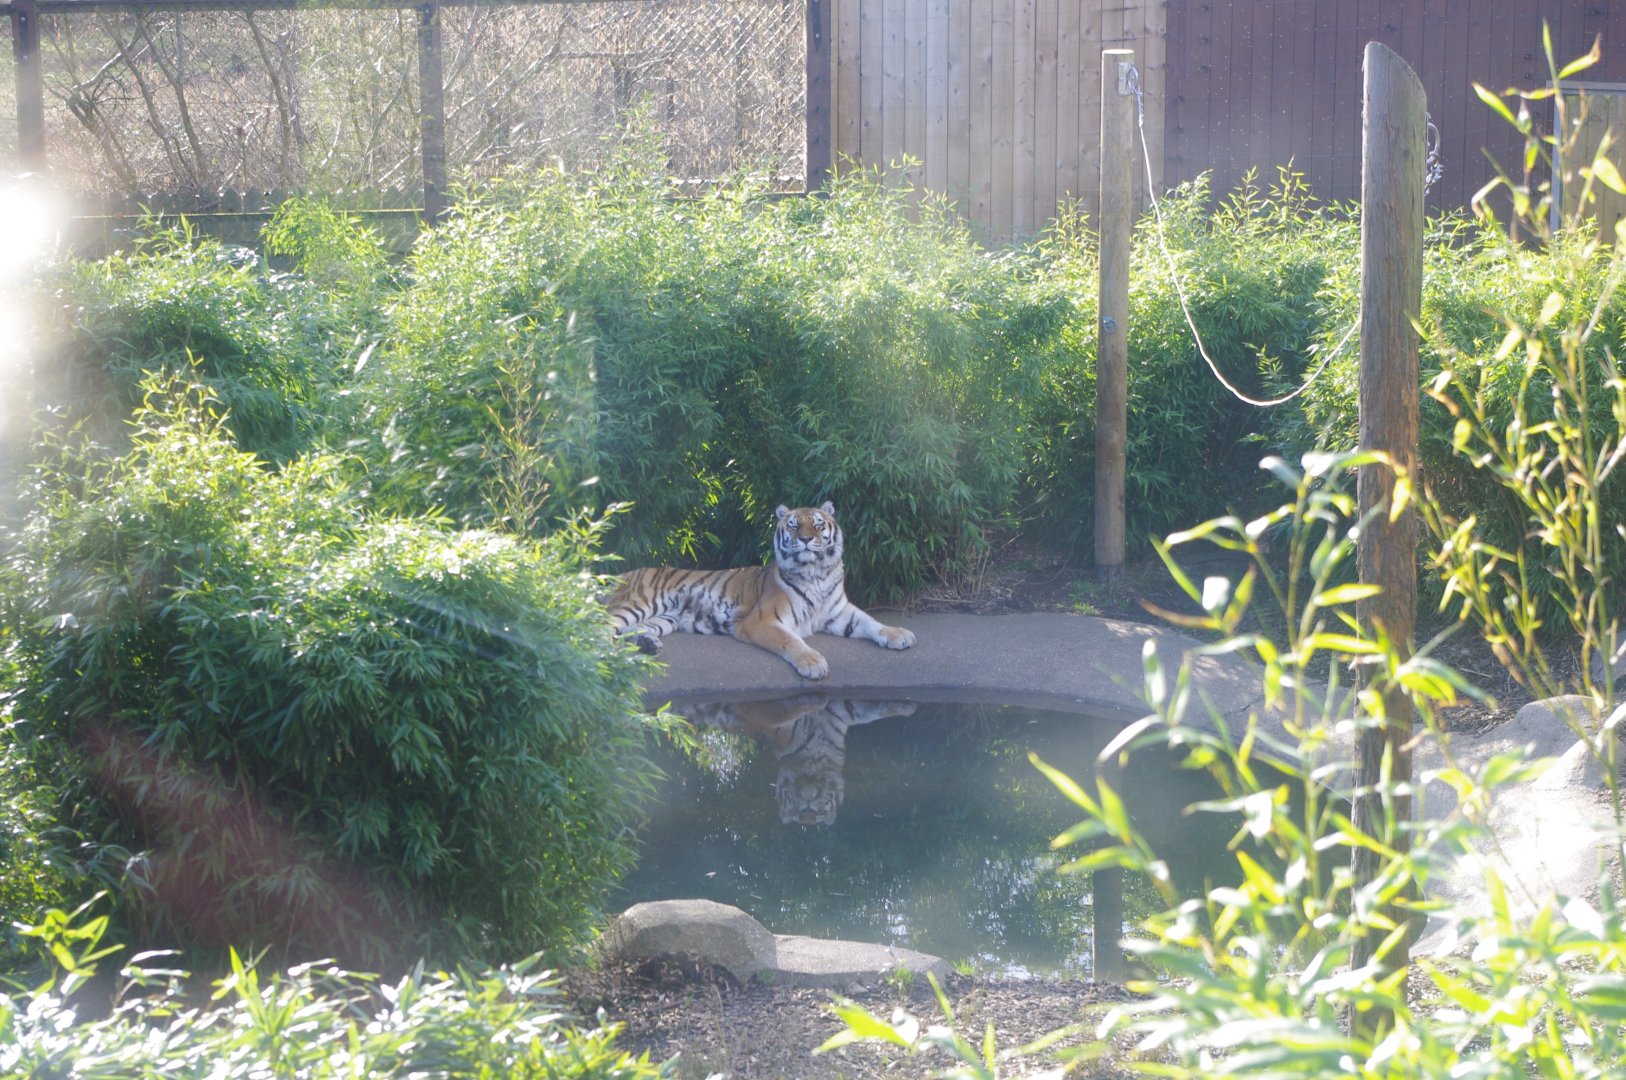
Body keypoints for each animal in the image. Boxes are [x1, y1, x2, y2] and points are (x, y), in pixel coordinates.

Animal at [606, 502, 916, 680]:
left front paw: (899, 635)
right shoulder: (762, 621)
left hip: (663, 619)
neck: (815, 574)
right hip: (637, 603)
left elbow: (872, 622)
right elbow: (791, 641)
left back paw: (648, 645)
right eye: (794, 525)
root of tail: (619, 574)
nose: (805, 539)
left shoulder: (841, 613)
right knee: (602, 630)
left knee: (625, 632)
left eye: (817, 524)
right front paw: (813, 663)